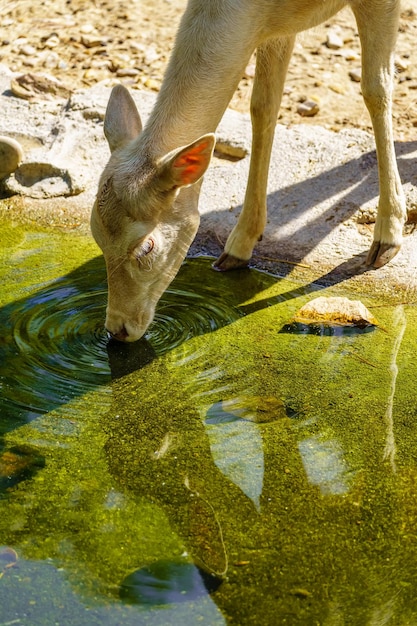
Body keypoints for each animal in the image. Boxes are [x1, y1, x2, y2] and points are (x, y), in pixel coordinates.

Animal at [90, 0, 404, 342]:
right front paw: (239, 247)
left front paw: (387, 240)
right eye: (96, 236)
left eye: (146, 247)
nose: (118, 329)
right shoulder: (276, 27)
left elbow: (377, 89)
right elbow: (262, 106)